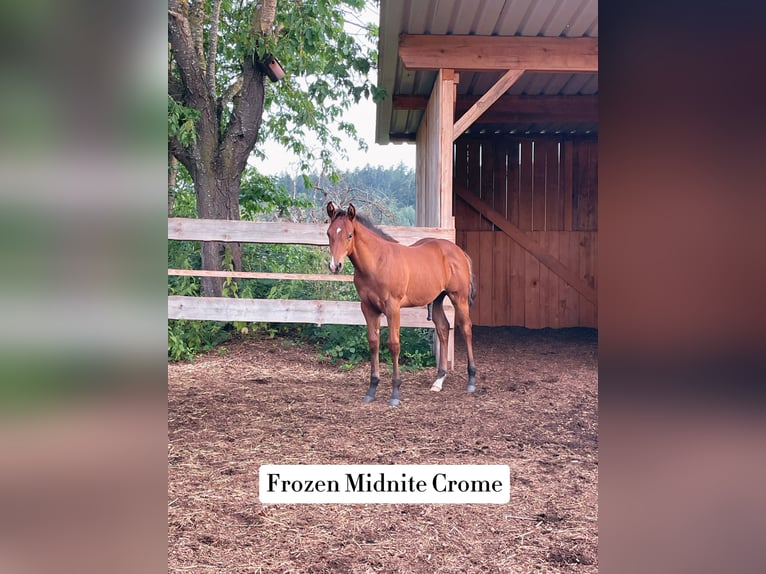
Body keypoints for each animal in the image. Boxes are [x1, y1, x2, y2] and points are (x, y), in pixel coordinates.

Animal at [326, 202, 477, 406]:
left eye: (349, 235)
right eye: (329, 233)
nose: (335, 265)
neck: (377, 263)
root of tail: (459, 251)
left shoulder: (393, 308)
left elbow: (394, 344)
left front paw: (395, 393)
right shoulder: (368, 308)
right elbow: (373, 342)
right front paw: (371, 389)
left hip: (458, 297)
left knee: (466, 327)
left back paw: (471, 380)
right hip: (437, 299)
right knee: (443, 328)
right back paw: (438, 381)